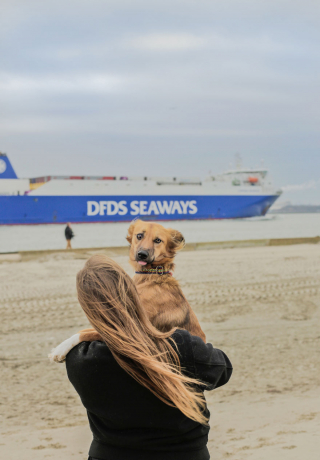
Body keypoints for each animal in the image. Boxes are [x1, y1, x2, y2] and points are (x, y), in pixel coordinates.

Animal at [49, 220, 206, 362]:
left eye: (158, 240)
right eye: (139, 236)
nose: (142, 254)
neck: (150, 277)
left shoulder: (135, 330)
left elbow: (86, 333)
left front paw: (60, 349)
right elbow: (86, 330)